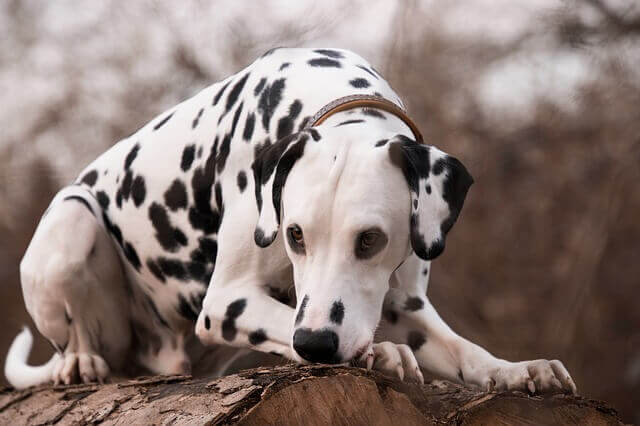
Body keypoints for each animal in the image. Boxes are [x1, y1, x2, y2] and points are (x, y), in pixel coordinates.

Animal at [3, 47, 576, 396]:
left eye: (371, 240)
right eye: (295, 235)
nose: (318, 345)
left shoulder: (405, 306)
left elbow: (465, 350)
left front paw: (516, 370)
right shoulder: (227, 301)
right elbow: (287, 322)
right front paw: (378, 353)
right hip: (73, 217)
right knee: (78, 338)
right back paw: (80, 362)